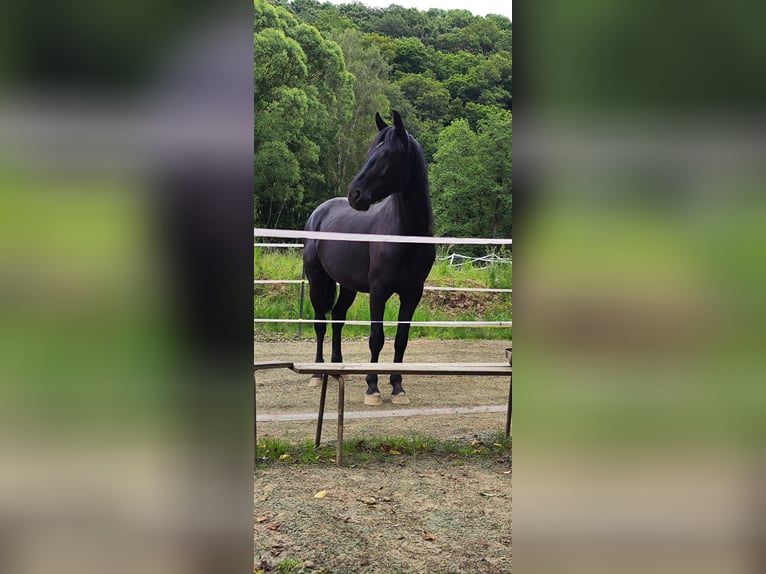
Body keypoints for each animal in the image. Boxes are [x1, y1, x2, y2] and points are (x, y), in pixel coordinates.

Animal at [306, 111, 438, 404]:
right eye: (369, 151)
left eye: (387, 154)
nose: (355, 195)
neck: (405, 235)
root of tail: (319, 212)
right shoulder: (379, 291)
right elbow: (376, 337)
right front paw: (373, 387)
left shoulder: (413, 292)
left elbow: (401, 338)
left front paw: (398, 387)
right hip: (316, 280)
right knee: (320, 322)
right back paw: (318, 372)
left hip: (348, 286)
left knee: (338, 317)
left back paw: (338, 368)